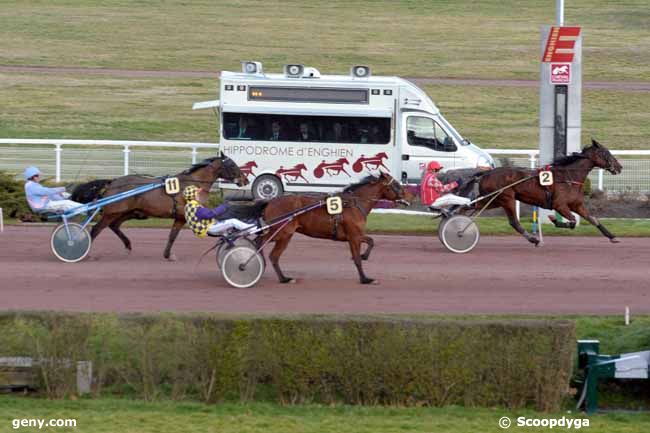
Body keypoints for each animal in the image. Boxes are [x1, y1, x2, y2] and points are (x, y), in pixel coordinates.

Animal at [72, 154, 247, 258]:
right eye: (232, 165)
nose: (244, 180)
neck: (192, 185)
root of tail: (112, 182)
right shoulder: (186, 216)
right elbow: (175, 235)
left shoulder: (179, 218)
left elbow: (172, 236)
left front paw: (167, 254)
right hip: (113, 212)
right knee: (96, 229)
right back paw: (84, 251)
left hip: (130, 212)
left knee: (114, 226)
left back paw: (128, 245)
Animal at [258, 172, 404, 284]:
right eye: (396, 184)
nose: (406, 195)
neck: (354, 204)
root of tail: (270, 202)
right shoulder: (354, 236)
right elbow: (357, 259)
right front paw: (365, 279)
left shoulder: (355, 236)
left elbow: (371, 241)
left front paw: (364, 256)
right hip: (282, 232)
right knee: (269, 251)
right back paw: (283, 278)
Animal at [474, 140, 620, 245]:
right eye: (606, 153)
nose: (619, 167)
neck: (568, 177)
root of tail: (487, 174)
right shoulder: (559, 205)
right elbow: (572, 221)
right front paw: (554, 219)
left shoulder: (577, 205)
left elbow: (593, 219)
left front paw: (612, 236)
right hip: (506, 199)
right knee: (514, 222)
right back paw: (534, 239)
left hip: (492, 200)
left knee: (474, 207)